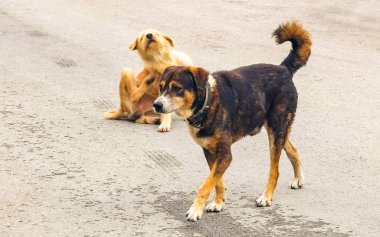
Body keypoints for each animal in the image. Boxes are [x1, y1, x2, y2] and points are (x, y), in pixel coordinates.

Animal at [154, 21, 312, 220]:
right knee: (293, 150)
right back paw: (298, 179)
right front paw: (218, 202)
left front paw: (196, 209)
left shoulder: (225, 154)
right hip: (278, 131)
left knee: (274, 170)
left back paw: (266, 197)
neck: (208, 102)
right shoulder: (211, 152)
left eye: (177, 88)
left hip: (276, 131)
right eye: (161, 88)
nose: (156, 105)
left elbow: (206, 184)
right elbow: (217, 181)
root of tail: (283, 69)